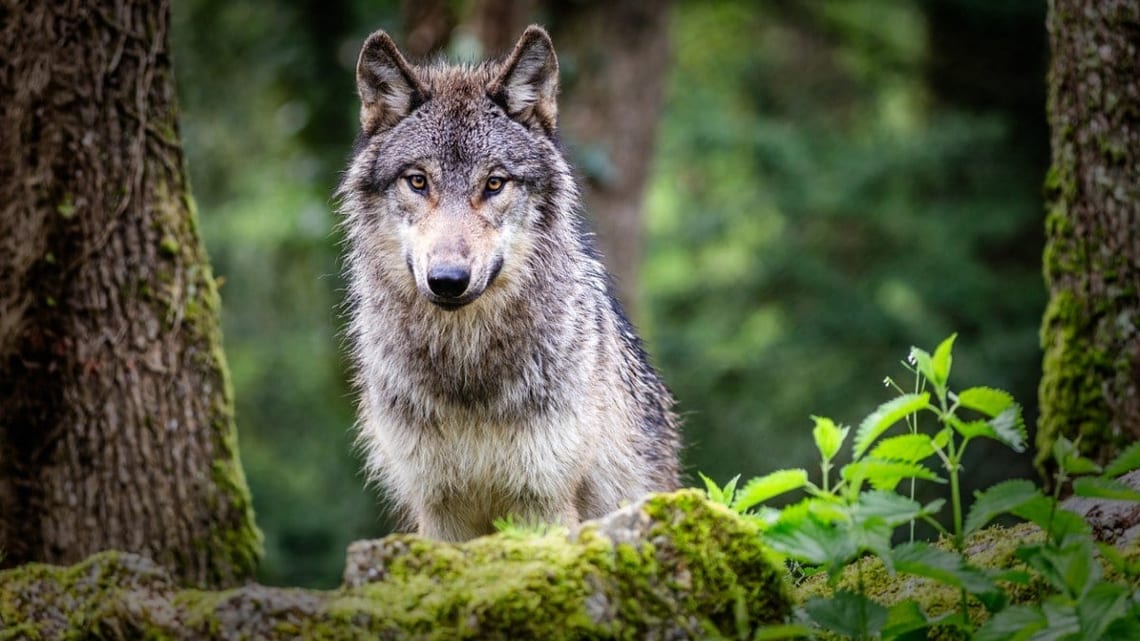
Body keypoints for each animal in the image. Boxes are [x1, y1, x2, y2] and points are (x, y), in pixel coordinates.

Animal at [337, 25, 681, 541]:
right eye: (417, 181)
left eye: (494, 184)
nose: (447, 280)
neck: (467, 372)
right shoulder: (438, 509)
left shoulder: (542, 501)